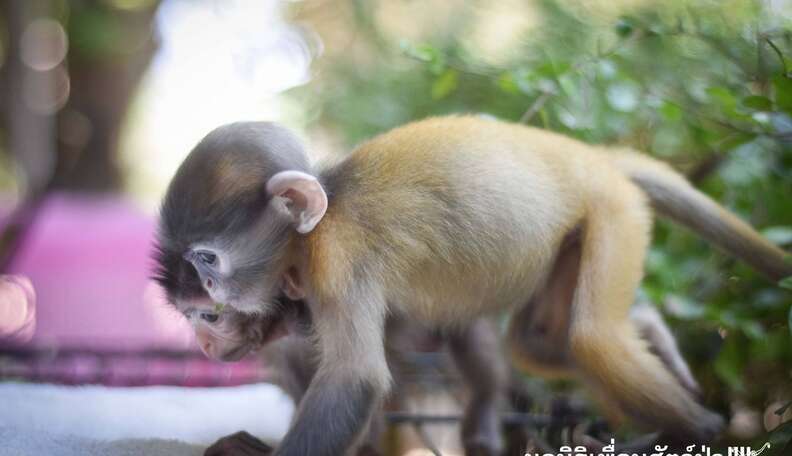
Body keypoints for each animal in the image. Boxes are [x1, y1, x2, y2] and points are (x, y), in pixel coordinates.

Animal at [155, 116, 792, 454]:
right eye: (190, 314)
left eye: (208, 268)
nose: (206, 339)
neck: (316, 225)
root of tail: (593, 159)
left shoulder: (337, 261)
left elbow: (354, 379)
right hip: (587, 226)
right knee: (536, 343)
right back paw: (646, 330)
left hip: (615, 208)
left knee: (592, 339)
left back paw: (699, 428)